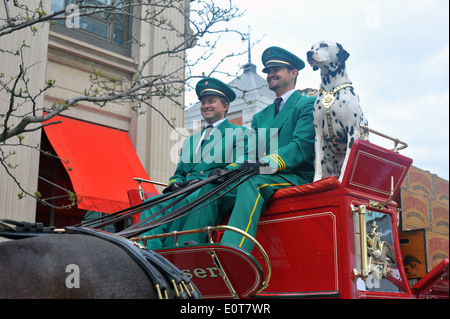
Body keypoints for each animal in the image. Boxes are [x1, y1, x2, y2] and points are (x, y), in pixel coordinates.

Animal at [308, 40, 368, 182]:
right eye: (312, 47)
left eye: (324, 45)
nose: (308, 53)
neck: (331, 90)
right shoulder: (318, 134)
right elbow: (318, 166)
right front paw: (315, 182)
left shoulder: (352, 132)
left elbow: (347, 164)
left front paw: (341, 181)